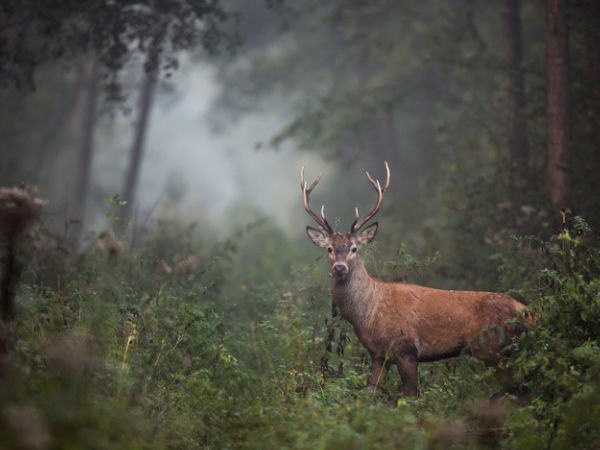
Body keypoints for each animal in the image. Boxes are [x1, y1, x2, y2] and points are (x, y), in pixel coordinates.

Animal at [302, 163, 528, 398]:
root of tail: (527, 312)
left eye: (354, 248)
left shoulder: (406, 347)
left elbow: (411, 396)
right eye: (329, 248)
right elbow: (370, 392)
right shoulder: (379, 354)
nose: (339, 267)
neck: (368, 314)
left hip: (492, 347)